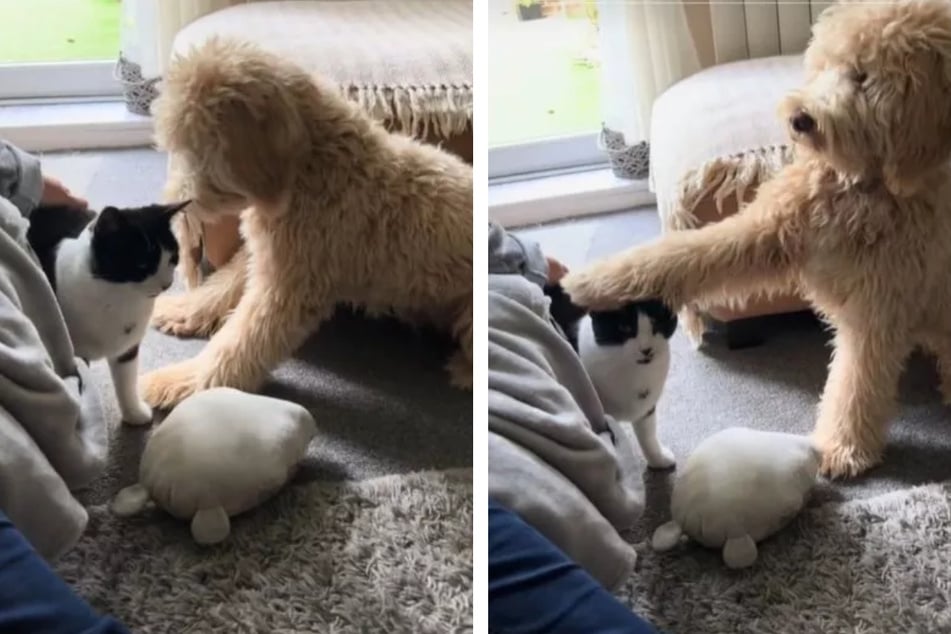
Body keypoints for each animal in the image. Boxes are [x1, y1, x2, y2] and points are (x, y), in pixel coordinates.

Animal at [27, 200, 190, 422]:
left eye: (173, 259)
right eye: (142, 264)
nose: (167, 284)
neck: (117, 296)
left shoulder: (127, 346)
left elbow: (127, 381)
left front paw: (134, 414)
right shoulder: (72, 353)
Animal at [138, 38, 472, 410]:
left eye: (196, 148)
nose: (171, 203)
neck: (309, 167)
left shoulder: (289, 287)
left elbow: (238, 344)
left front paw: (183, 382)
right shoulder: (269, 255)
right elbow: (222, 285)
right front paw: (184, 309)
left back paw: (465, 371)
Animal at [548, 284, 680, 466]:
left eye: (657, 322)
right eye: (624, 327)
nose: (647, 350)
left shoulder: (646, 405)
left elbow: (648, 434)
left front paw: (658, 459)